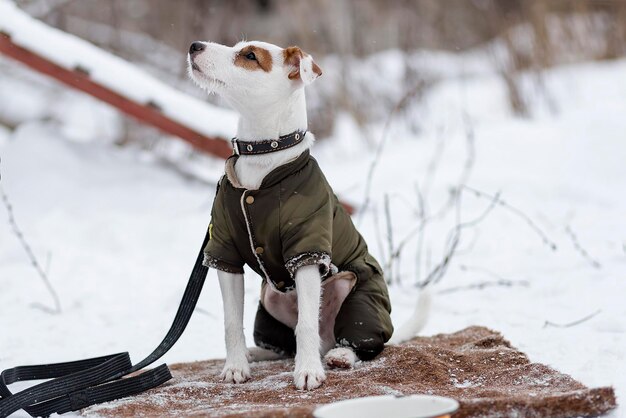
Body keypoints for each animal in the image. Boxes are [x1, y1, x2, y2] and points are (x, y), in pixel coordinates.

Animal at [185, 40, 428, 390]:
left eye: (250, 56)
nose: (195, 45)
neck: (264, 158)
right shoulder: (224, 253)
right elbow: (232, 321)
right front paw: (235, 366)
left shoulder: (308, 253)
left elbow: (306, 324)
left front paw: (308, 371)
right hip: (269, 303)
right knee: (282, 345)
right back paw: (256, 353)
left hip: (356, 296)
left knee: (361, 342)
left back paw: (340, 355)